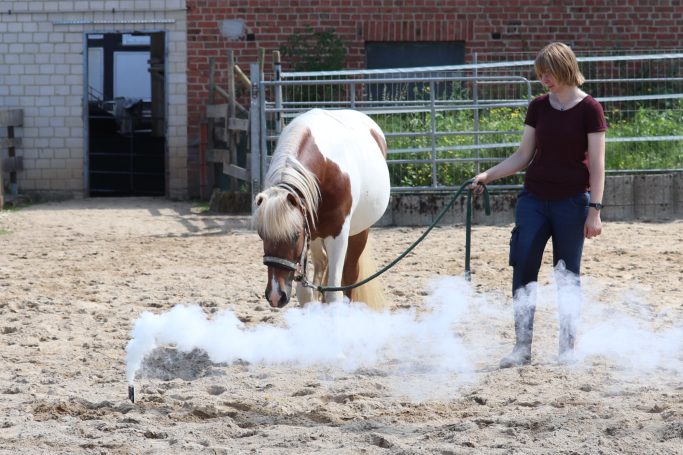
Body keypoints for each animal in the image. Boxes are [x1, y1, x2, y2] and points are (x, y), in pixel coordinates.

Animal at [252, 108, 392, 312]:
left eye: (295, 235)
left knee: (350, 275)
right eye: (262, 235)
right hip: (317, 236)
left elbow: (335, 292)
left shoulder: (338, 234)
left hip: (359, 232)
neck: (326, 170)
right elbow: (305, 293)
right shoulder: (309, 232)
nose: (276, 296)